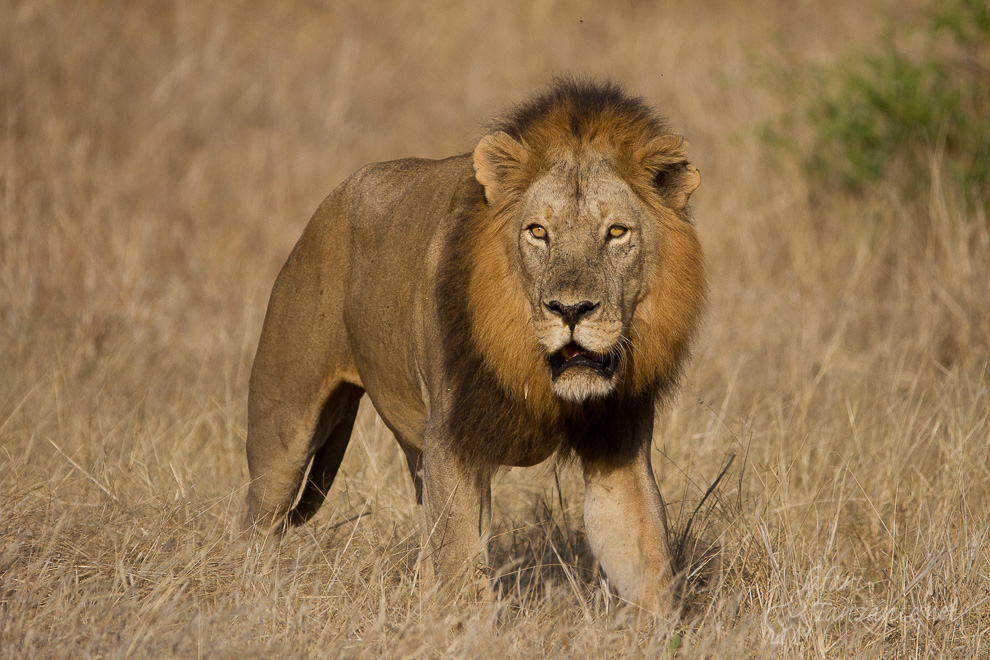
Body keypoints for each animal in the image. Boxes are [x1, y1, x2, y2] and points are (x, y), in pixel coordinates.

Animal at [252, 78, 708, 612]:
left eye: (616, 232)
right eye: (538, 232)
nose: (571, 310)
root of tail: (334, 197)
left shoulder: (617, 449)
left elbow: (649, 562)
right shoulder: (453, 443)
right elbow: (459, 573)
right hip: (283, 429)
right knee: (259, 519)